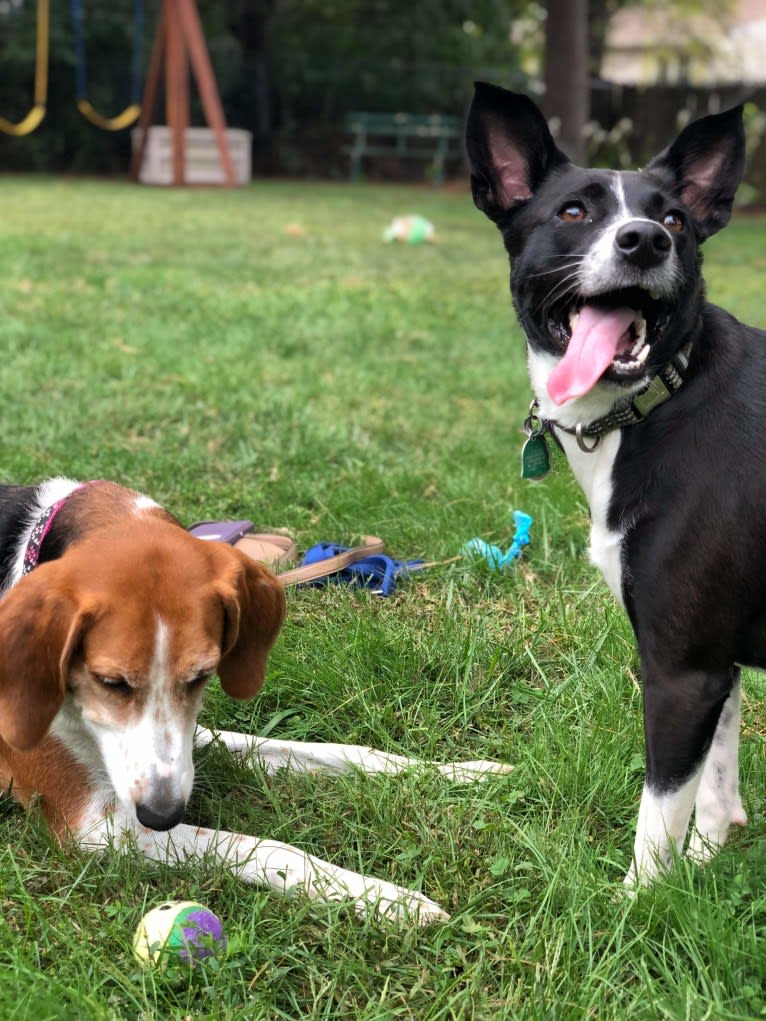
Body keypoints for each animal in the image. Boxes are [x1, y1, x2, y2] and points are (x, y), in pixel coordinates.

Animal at [0, 479, 512, 927]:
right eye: (110, 681)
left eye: (203, 675)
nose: (163, 816)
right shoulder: (92, 824)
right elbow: (270, 848)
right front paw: (382, 897)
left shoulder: (188, 739)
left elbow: (342, 753)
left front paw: (462, 773)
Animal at [467, 81, 763, 886]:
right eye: (573, 212)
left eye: (676, 220)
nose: (645, 241)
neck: (660, 394)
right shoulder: (715, 661)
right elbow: (712, 780)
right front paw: (707, 858)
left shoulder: (681, 671)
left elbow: (655, 820)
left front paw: (642, 902)